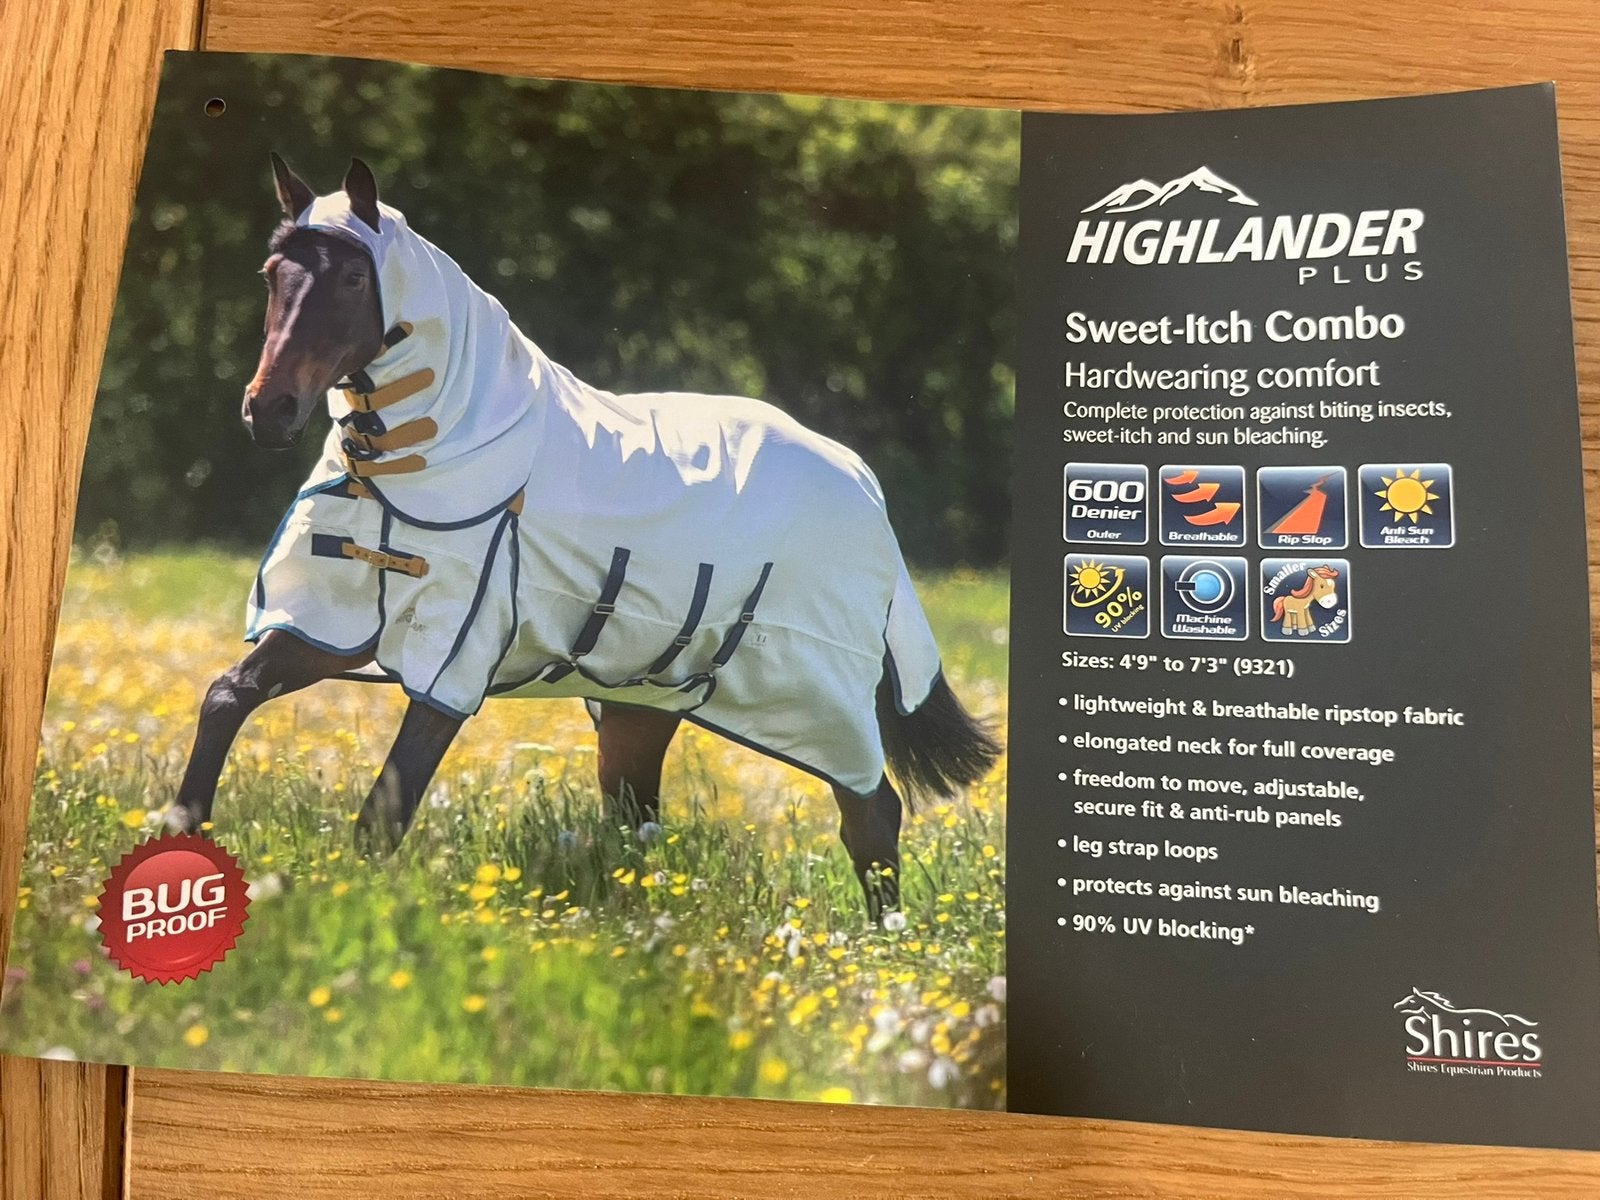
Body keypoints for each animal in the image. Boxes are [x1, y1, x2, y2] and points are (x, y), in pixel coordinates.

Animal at [167, 155, 1000, 919]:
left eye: (349, 279)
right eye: (273, 273)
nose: (268, 411)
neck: (435, 449)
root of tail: (858, 475)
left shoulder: (453, 651)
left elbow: (384, 813)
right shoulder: (333, 622)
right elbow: (227, 697)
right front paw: (181, 853)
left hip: (817, 697)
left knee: (871, 812)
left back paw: (882, 943)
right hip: (643, 702)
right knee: (638, 818)